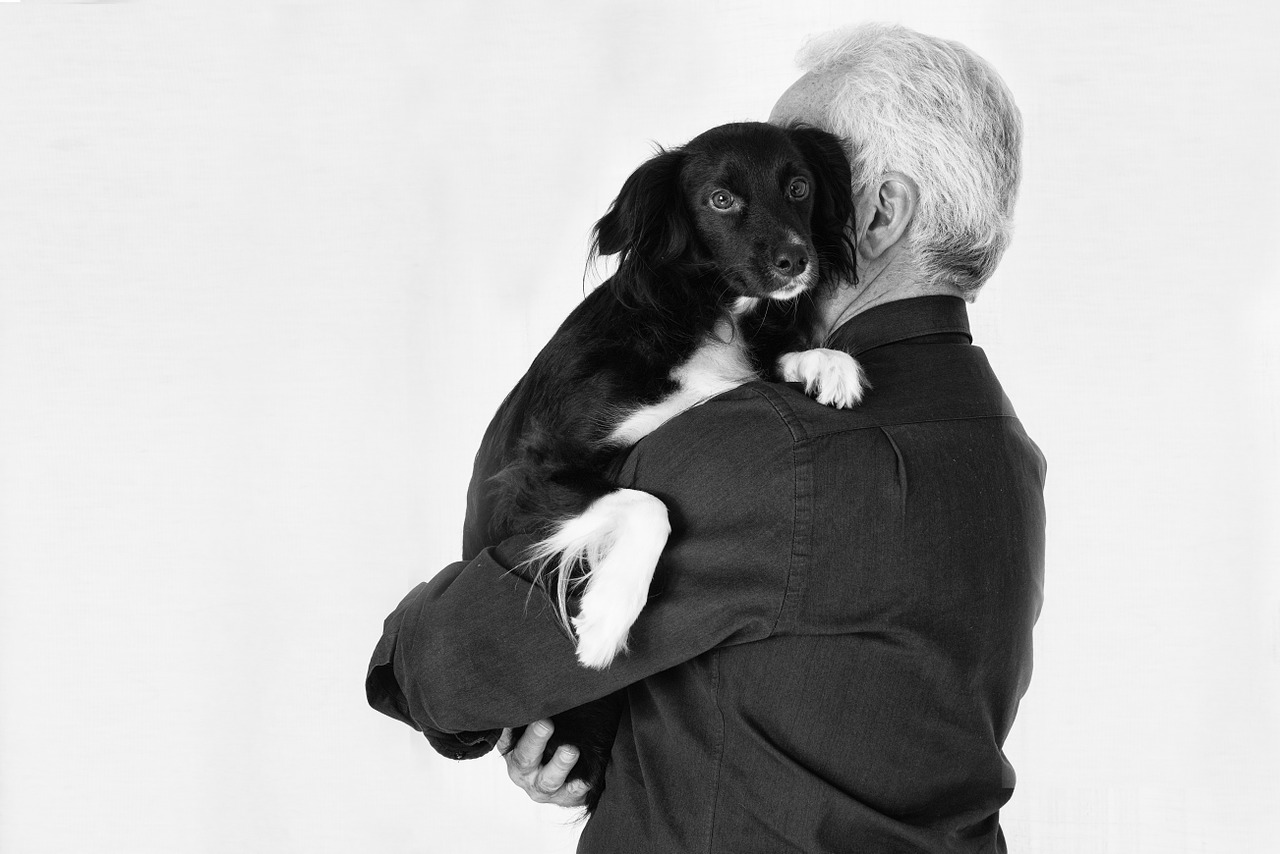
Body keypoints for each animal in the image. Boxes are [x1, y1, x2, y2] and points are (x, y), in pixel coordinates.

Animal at [465, 120, 865, 809]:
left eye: (799, 187)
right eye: (720, 201)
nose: (796, 260)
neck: (707, 313)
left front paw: (825, 362)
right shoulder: (531, 472)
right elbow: (647, 504)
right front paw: (606, 617)